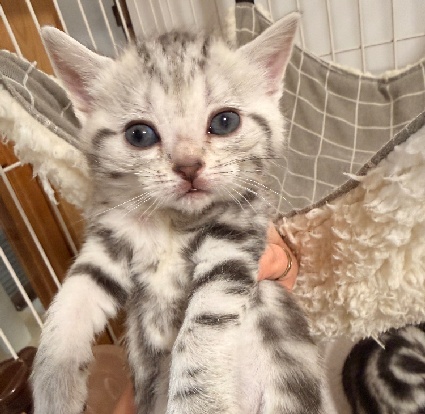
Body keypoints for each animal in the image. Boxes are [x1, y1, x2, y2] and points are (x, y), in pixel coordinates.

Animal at [32, 14, 329, 414]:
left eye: (224, 122)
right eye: (139, 134)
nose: (189, 167)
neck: (171, 223)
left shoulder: (234, 238)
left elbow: (203, 325)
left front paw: (199, 401)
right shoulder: (108, 242)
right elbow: (70, 302)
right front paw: (53, 383)